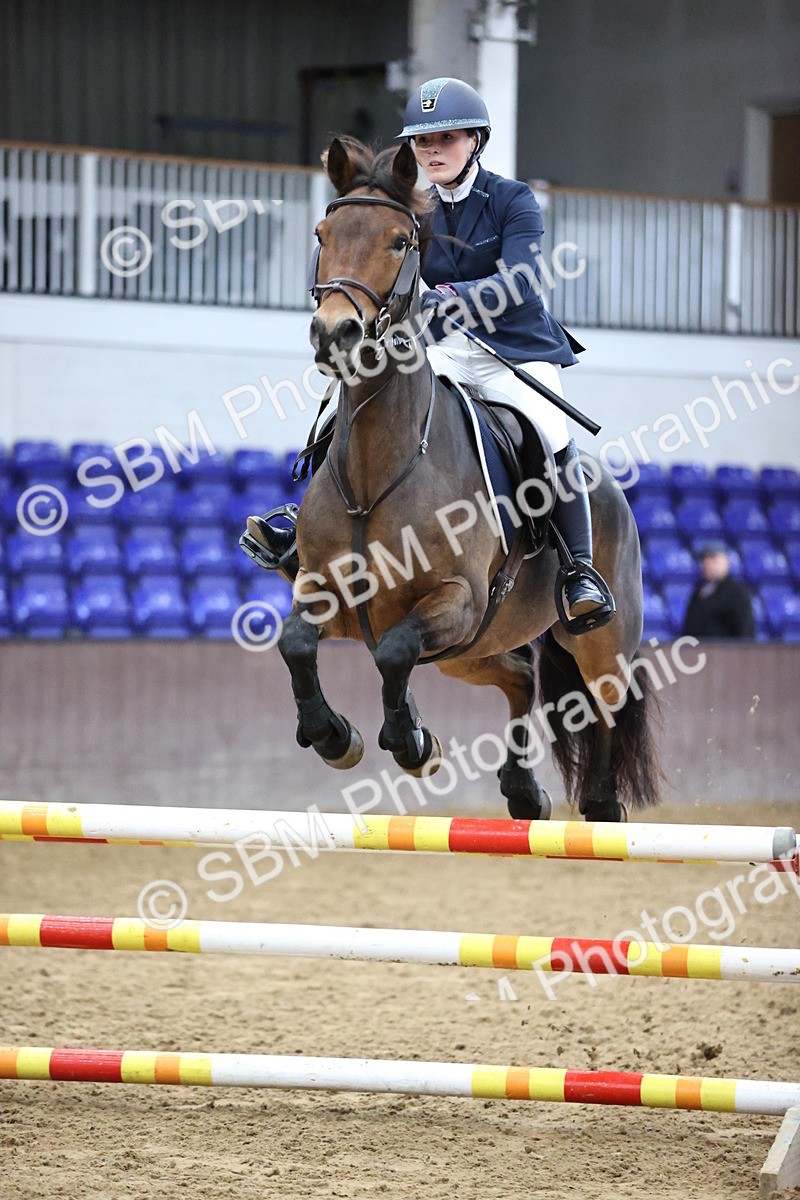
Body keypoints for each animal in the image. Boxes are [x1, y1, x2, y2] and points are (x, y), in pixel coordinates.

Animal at [274, 136, 662, 823]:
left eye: (400, 241)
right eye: (323, 234)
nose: (334, 334)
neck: (379, 468)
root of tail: (612, 488)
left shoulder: (456, 599)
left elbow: (394, 651)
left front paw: (411, 743)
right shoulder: (324, 593)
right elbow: (296, 642)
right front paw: (334, 735)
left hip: (598, 639)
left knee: (602, 704)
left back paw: (600, 802)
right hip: (470, 653)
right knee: (521, 677)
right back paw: (522, 789)